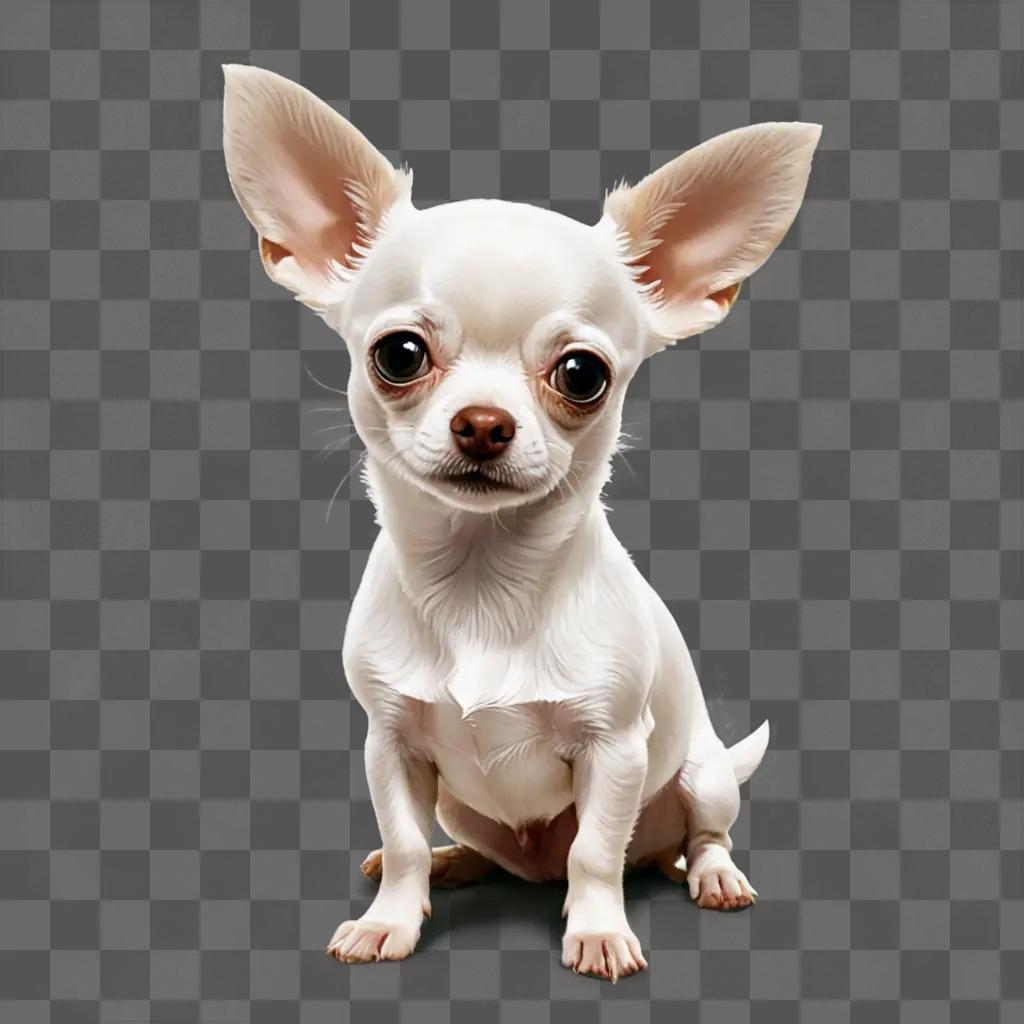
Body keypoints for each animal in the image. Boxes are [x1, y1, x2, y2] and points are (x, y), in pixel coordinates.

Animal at [224, 61, 823, 974]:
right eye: (399, 354)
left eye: (583, 374)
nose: (482, 423)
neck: (482, 583)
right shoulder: (390, 743)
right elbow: (402, 835)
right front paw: (390, 919)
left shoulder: (615, 750)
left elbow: (595, 851)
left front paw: (600, 931)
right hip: (465, 805)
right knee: (481, 844)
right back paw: (454, 862)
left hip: (702, 772)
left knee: (692, 833)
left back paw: (710, 874)